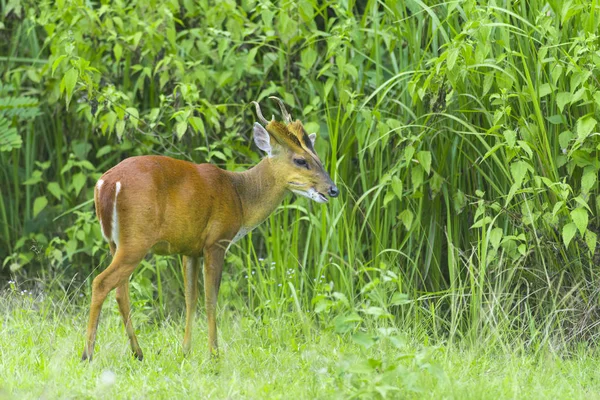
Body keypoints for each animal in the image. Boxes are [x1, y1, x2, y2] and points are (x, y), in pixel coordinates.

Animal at [82, 97, 340, 362]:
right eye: (301, 160)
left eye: (318, 158)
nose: (333, 190)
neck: (240, 196)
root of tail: (105, 184)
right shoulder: (217, 241)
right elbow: (211, 299)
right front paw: (214, 352)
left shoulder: (189, 249)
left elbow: (191, 298)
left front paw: (185, 350)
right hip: (136, 240)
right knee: (101, 283)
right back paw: (88, 354)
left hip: (115, 242)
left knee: (120, 291)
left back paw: (138, 352)